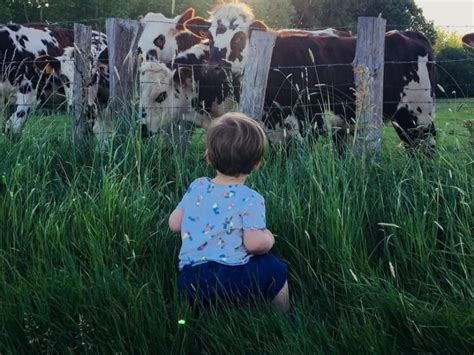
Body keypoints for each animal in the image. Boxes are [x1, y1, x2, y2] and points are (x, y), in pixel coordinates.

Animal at [183, 3, 436, 153]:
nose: (213, 69)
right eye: (209, 36)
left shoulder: (305, 125)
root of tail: (409, 33)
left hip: (419, 112)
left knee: (426, 148)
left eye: (239, 37)